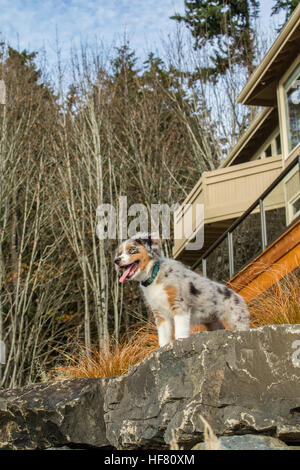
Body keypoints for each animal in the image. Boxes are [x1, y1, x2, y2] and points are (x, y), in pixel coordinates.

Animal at [115, 233, 251, 346]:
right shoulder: (160, 314)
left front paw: (180, 340)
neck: (154, 275)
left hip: (237, 319)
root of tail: (238, 296)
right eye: (120, 253)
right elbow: (163, 337)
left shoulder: (179, 305)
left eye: (132, 250)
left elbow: (180, 330)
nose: (116, 260)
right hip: (212, 322)